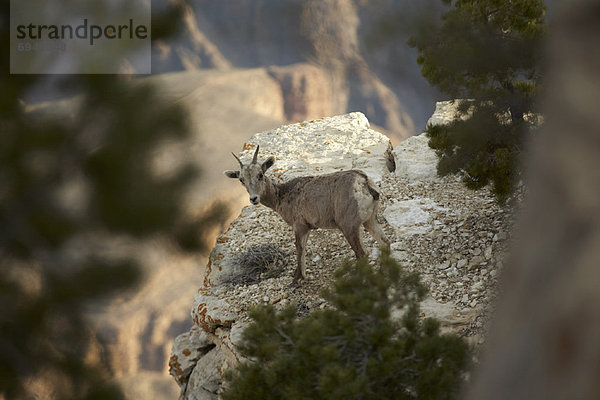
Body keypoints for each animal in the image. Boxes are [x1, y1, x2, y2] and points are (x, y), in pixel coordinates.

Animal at [224, 145, 390, 286]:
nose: (253, 199)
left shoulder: (299, 226)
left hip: (349, 226)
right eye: (241, 180)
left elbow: (299, 248)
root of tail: (364, 183)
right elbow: (303, 247)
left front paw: (296, 279)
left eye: (260, 175)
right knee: (384, 242)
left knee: (362, 253)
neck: (282, 196)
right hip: (370, 220)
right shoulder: (308, 228)